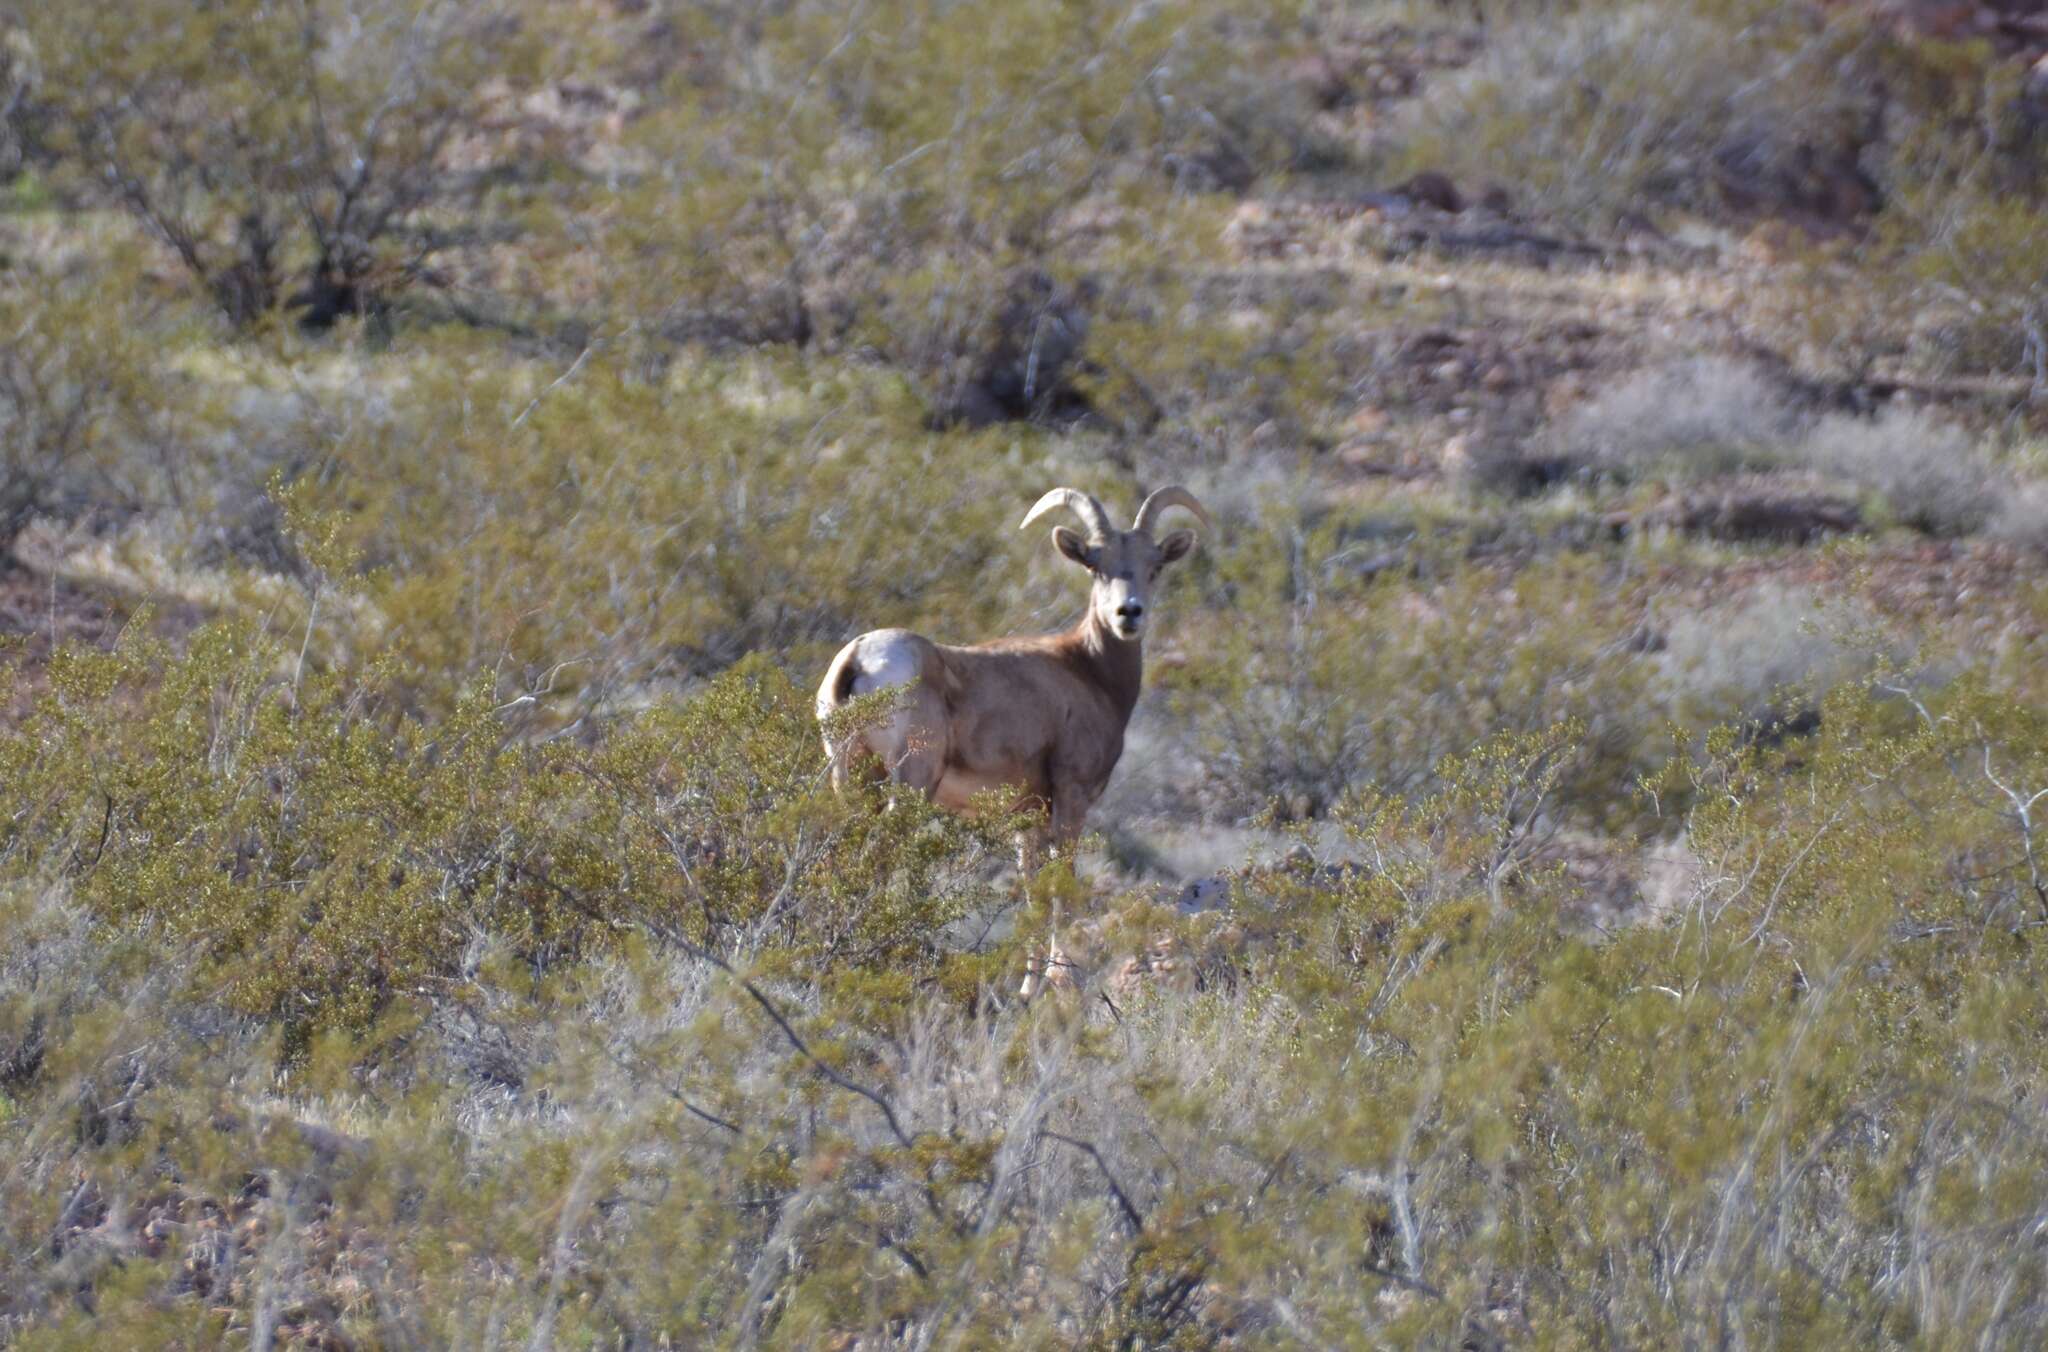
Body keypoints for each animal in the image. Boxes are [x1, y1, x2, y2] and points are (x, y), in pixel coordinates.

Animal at [811, 491, 1204, 999]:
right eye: (1095, 565)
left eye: (1153, 566)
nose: (1128, 614)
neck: (1087, 670)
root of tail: (859, 659)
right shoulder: (1070, 800)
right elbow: (1061, 890)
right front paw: (1059, 980)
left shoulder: (1027, 820)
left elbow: (1033, 894)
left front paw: (1028, 990)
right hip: (909, 785)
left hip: (850, 781)